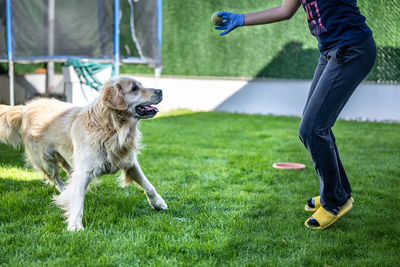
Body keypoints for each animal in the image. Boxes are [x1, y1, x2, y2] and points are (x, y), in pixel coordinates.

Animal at [0, 76, 167, 231]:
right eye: (134, 88)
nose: (160, 91)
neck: (112, 128)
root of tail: (24, 108)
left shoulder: (129, 161)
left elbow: (148, 185)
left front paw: (158, 203)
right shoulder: (84, 172)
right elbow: (78, 201)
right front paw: (75, 225)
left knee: (68, 174)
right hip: (46, 161)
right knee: (56, 179)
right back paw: (64, 192)